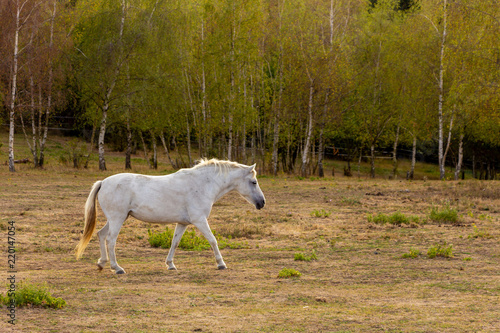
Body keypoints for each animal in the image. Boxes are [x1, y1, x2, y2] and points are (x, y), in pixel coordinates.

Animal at [75, 158, 266, 272]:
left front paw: (170, 265)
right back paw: (117, 268)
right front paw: (221, 264)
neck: (202, 184)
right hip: (117, 219)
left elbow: (174, 242)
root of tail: (103, 182)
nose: (262, 203)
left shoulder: (183, 223)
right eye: (253, 182)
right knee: (110, 240)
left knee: (101, 235)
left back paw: (101, 263)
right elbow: (213, 240)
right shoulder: (200, 220)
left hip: (116, 219)